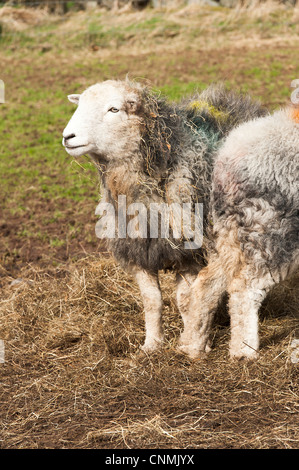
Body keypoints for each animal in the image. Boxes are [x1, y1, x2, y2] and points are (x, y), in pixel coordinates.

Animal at [62, 80, 266, 356]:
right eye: (79, 104)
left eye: (114, 109)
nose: (67, 137)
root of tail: (242, 103)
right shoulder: (142, 249)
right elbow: (153, 301)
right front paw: (152, 344)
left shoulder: (193, 251)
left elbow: (189, 299)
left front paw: (195, 341)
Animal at [186, 104, 298, 358]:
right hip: (271, 232)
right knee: (245, 288)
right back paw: (244, 351)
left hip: (230, 234)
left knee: (207, 282)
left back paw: (194, 347)